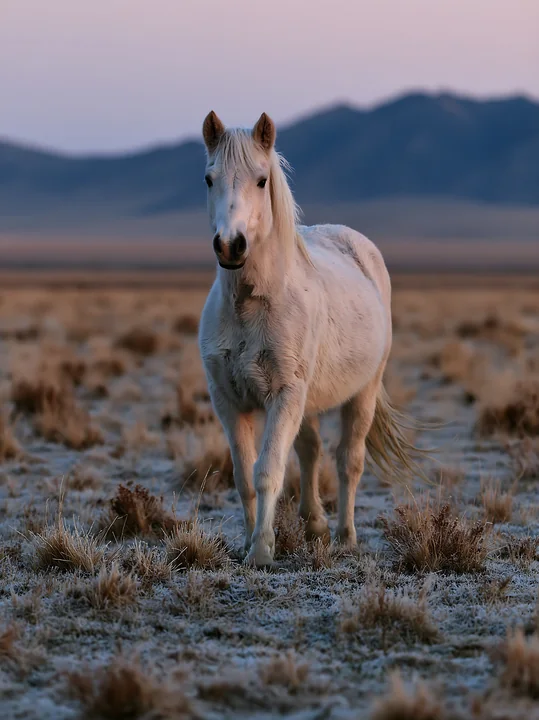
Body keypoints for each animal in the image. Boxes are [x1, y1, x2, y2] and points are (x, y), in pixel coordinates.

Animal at [198, 110, 419, 567]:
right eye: (209, 179)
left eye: (261, 180)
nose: (230, 245)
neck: (251, 305)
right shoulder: (228, 401)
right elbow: (244, 476)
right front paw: (247, 543)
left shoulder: (284, 394)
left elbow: (268, 471)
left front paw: (262, 550)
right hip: (308, 400)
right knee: (311, 451)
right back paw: (315, 524)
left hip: (361, 393)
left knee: (348, 461)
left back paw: (345, 535)